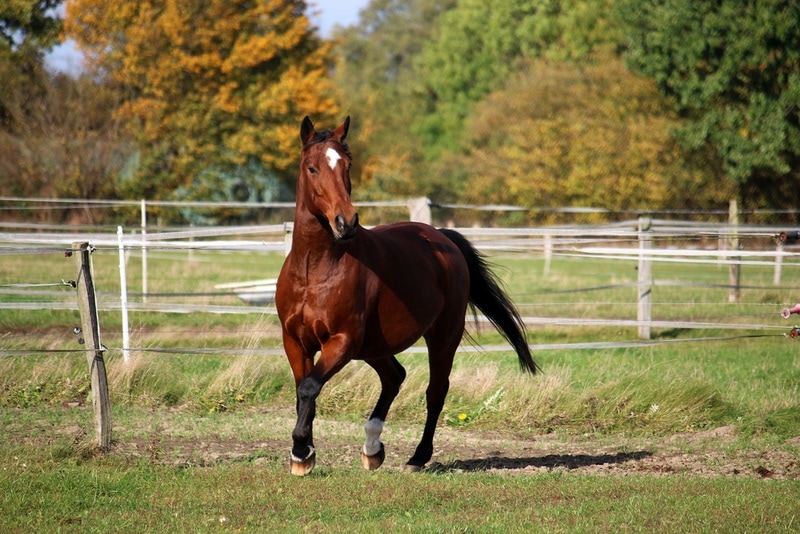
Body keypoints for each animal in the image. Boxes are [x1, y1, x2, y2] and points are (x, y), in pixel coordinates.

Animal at [276, 117, 536, 478]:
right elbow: (304, 391)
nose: (346, 222)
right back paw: (372, 450)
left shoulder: (342, 341)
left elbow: (310, 388)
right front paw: (304, 455)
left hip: (441, 336)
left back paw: (417, 457)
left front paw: (301, 451)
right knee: (394, 376)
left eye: (347, 166)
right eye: (312, 168)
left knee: (435, 391)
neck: (315, 271)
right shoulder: (295, 341)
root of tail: (441, 238)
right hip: (373, 346)